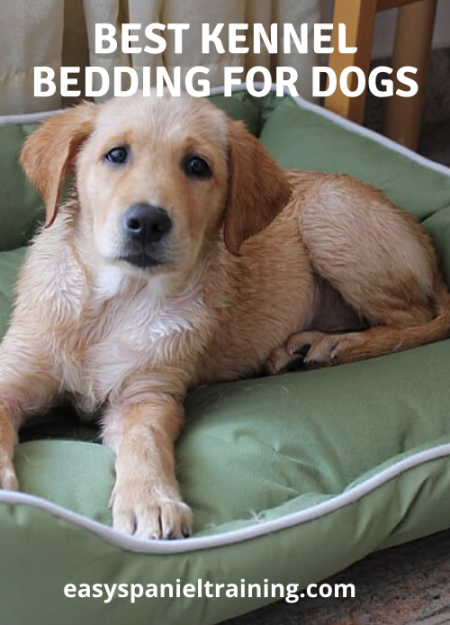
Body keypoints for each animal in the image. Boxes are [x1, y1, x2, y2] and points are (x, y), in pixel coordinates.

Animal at [0, 92, 449, 540]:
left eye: (198, 166)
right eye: (116, 154)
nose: (147, 222)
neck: (119, 300)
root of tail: (422, 238)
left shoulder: (148, 396)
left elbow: (145, 443)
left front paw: (150, 500)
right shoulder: (14, 374)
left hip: (330, 220)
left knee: (415, 320)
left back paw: (336, 345)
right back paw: (299, 347)